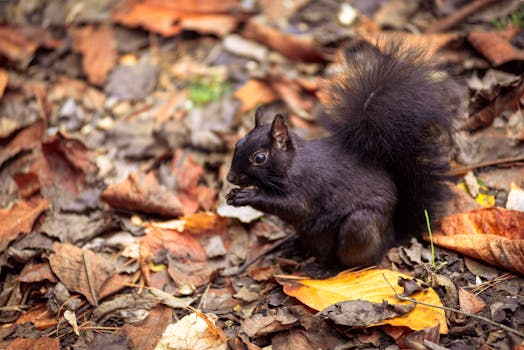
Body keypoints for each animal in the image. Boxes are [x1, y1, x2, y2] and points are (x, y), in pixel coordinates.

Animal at [226, 41, 458, 266]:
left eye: (260, 158)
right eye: (238, 143)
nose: (230, 178)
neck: (293, 164)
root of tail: (390, 236)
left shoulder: (307, 188)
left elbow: (292, 206)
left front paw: (247, 195)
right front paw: (233, 195)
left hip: (359, 225)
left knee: (358, 261)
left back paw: (327, 269)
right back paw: (295, 247)